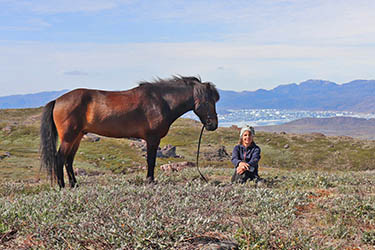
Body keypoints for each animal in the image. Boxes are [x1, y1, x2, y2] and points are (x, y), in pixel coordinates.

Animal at [39, 75, 220, 188]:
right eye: (208, 101)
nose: (213, 124)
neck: (160, 102)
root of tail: (57, 100)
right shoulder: (152, 139)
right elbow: (151, 161)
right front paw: (150, 181)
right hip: (69, 137)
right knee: (60, 158)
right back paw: (62, 186)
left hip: (77, 137)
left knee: (68, 160)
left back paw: (74, 184)